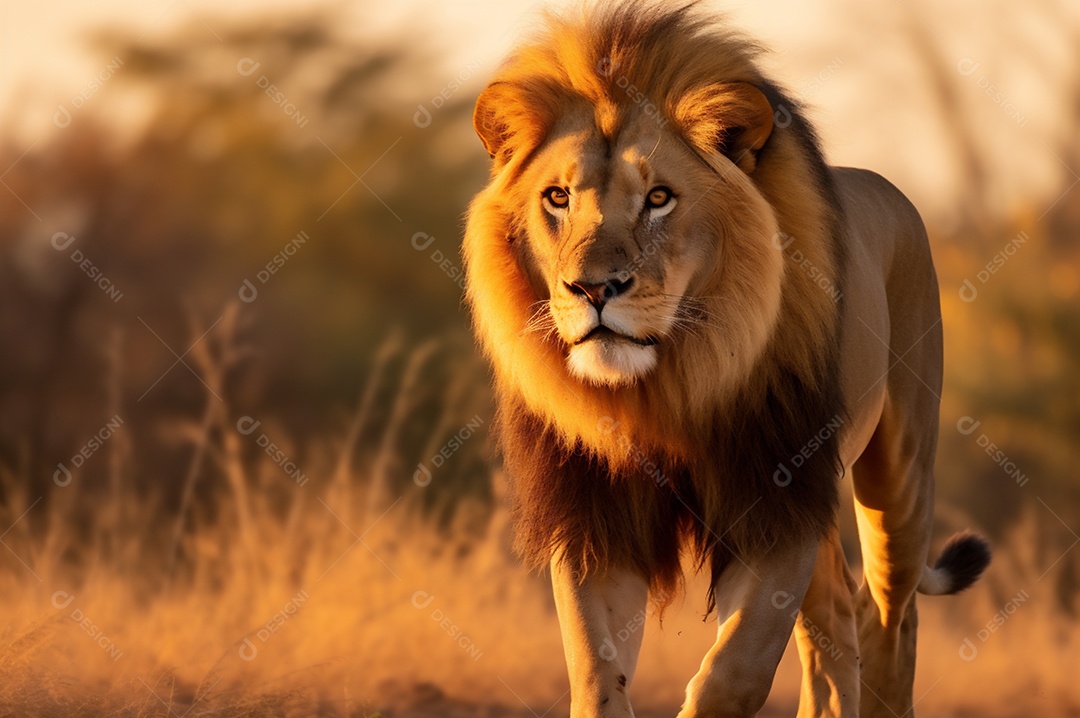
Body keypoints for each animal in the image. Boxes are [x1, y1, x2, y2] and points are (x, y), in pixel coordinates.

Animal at [462, 3, 991, 717]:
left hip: (900, 473)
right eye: (557, 198)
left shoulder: (778, 497)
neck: (666, 386)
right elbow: (596, 672)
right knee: (837, 617)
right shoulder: (594, 510)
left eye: (659, 198)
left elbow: (735, 671)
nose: (593, 289)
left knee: (891, 614)